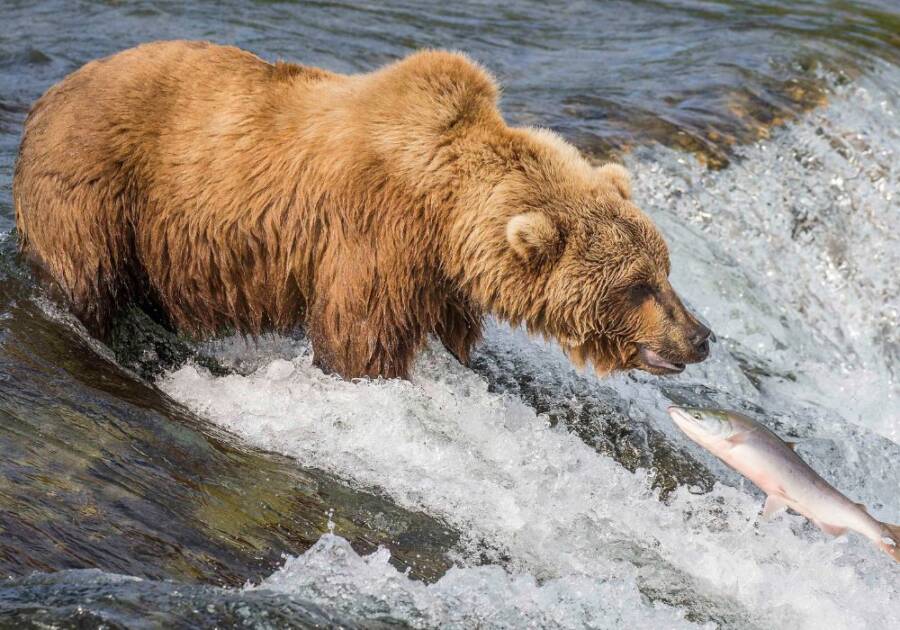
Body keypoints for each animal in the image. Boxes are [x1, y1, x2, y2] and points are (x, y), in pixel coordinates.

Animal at [13, 41, 711, 379]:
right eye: (637, 286)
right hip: (98, 191)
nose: (701, 336)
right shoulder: (372, 237)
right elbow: (358, 342)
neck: (446, 216)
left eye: (665, 271)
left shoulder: (441, 283)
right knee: (83, 277)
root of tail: (48, 95)